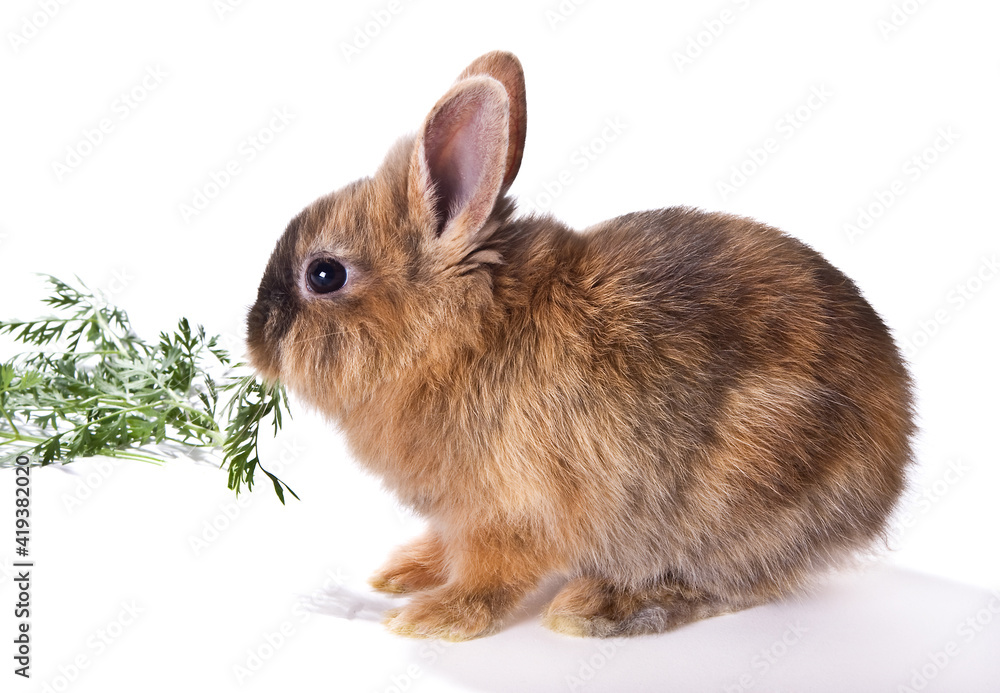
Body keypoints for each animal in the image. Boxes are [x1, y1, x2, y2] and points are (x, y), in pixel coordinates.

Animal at [246, 51, 914, 641]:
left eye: (324, 275)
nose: (254, 339)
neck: (459, 341)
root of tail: (890, 471)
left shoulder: (508, 514)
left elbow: (489, 577)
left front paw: (432, 619)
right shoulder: (456, 516)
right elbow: (445, 548)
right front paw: (401, 575)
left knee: (735, 581)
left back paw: (597, 607)